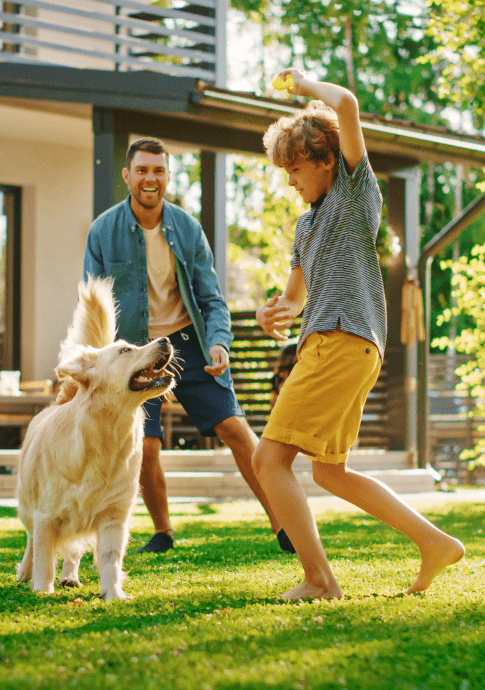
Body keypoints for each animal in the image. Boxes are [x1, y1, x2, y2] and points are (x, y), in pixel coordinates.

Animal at [17, 276, 176, 600]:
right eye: (126, 350)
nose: (165, 340)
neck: (107, 433)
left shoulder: (114, 516)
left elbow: (110, 559)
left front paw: (113, 594)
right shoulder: (45, 516)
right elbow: (43, 557)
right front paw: (42, 590)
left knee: (72, 551)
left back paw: (70, 577)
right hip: (27, 507)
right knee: (30, 542)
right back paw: (25, 574)